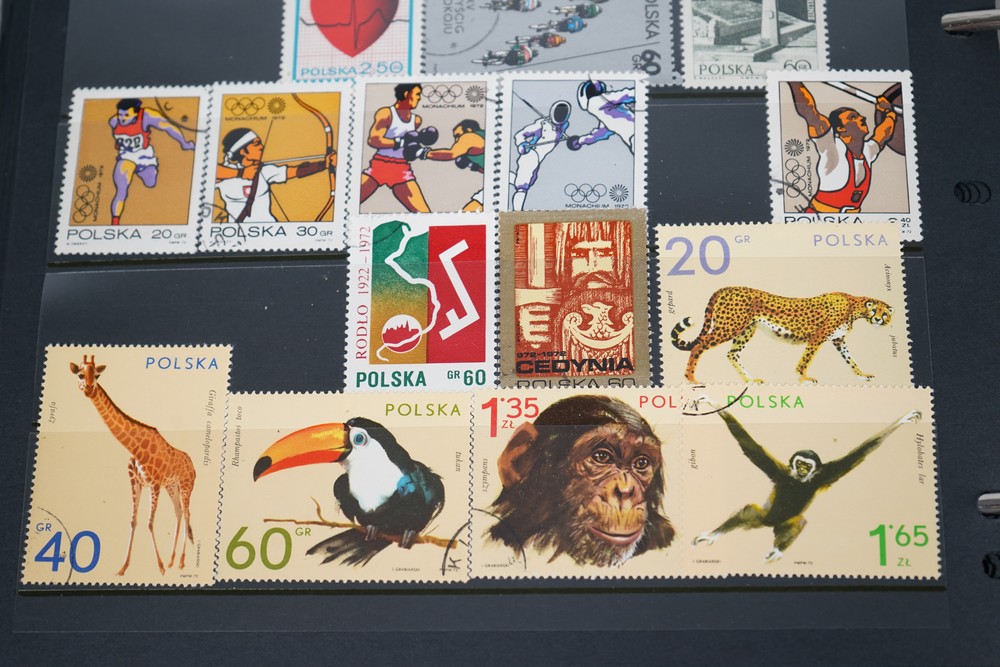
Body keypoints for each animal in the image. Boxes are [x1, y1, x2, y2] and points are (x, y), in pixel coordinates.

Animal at [692, 402, 922, 562]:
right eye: (800, 463)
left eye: (807, 465)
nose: (802, 469)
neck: (799, 482)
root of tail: (769, 524)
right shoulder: (779, 471)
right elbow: (751, 448)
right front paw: (717, 406)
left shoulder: (822, 475)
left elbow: (856, 456)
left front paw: (902, 420)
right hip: (762, 517)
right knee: (750, 511)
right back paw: (714, 534)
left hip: (782, 523)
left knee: (798, 522)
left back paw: (777, 550)